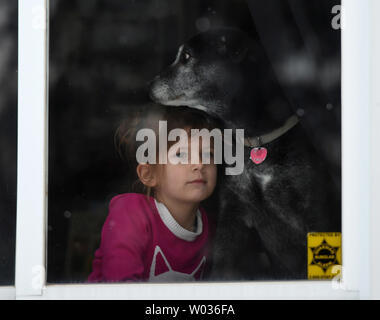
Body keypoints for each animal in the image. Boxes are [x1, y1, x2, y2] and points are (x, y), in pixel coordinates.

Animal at [148, 27, 342, 278]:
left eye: (187, 56)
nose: (149, 87)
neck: (257, 142)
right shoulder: (233, 214)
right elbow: (221, 266)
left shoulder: (315, 212)